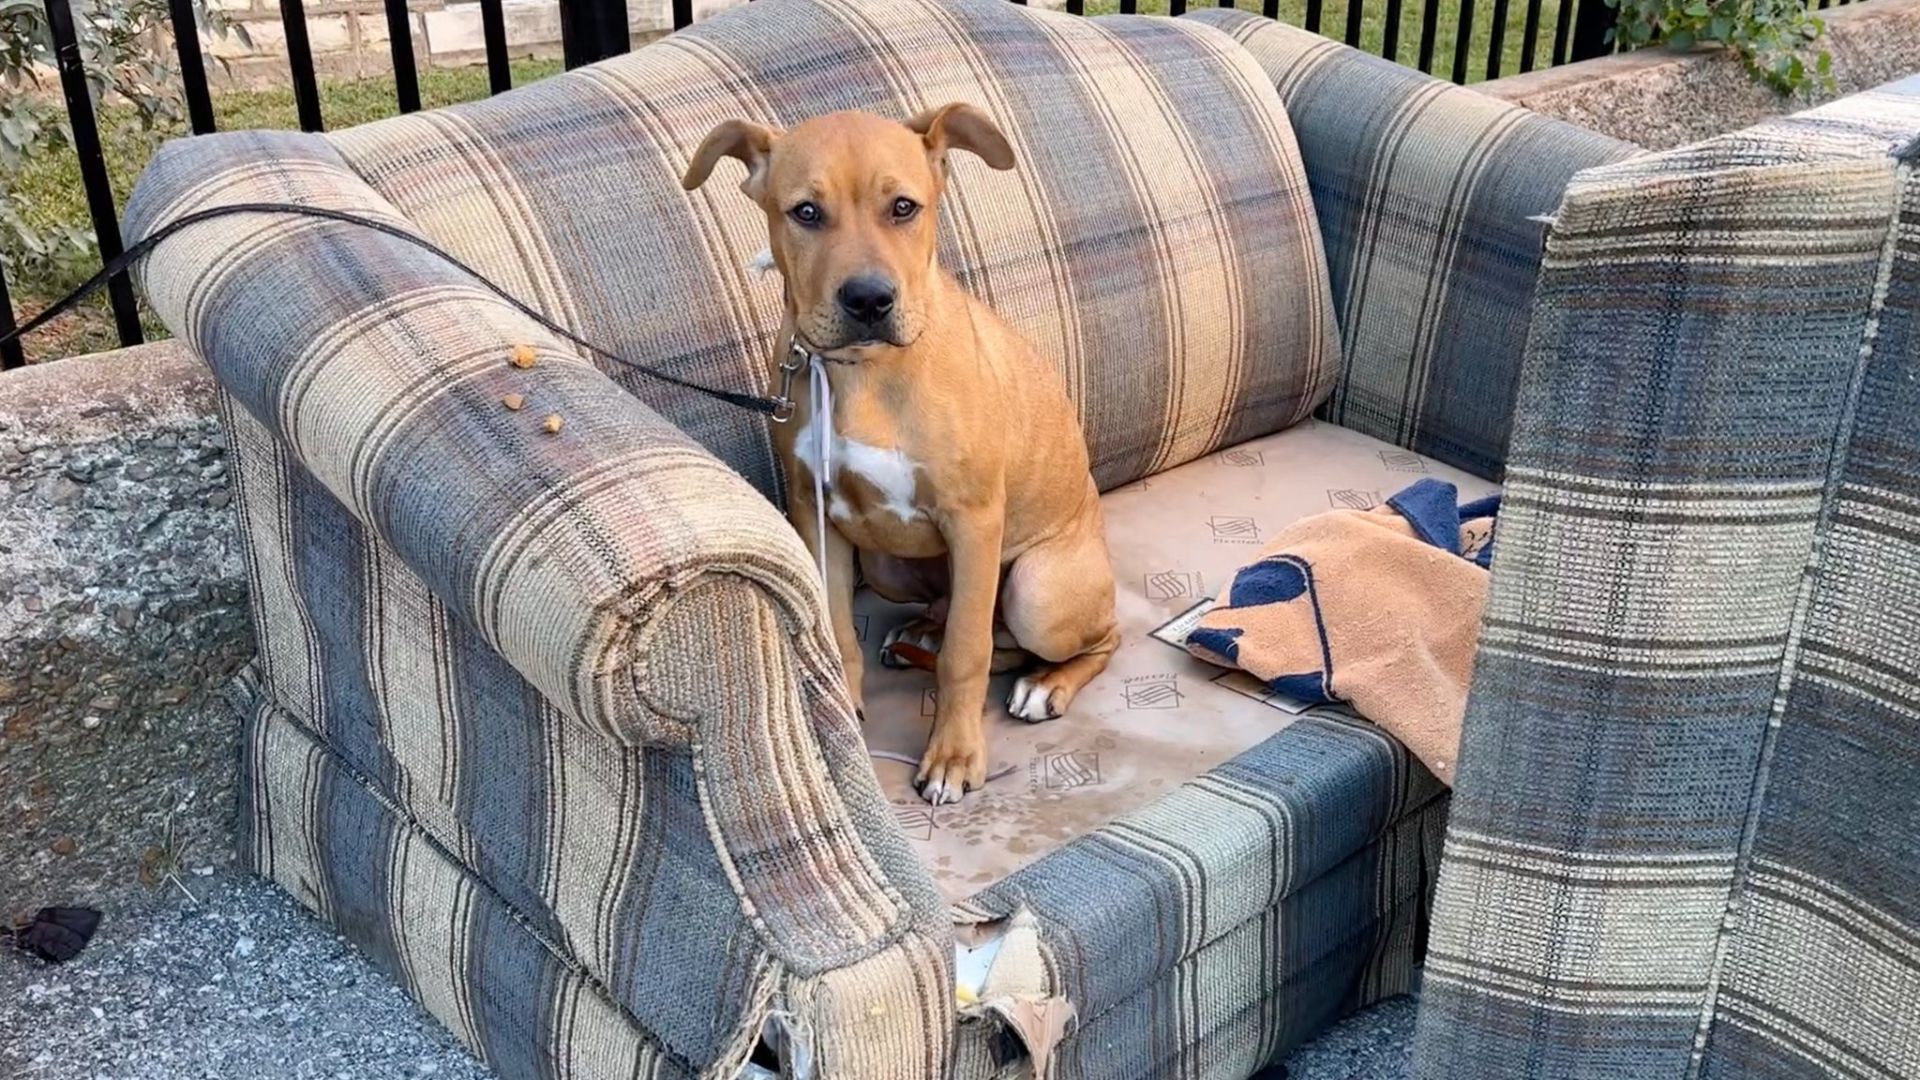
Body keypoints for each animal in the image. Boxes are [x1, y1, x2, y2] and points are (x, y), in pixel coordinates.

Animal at [683, 107, 1121, 799]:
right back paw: (922, 631)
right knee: (956, 616)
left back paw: (1046, 684)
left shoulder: (974, 520)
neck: (865, 372)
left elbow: (965, 654)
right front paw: (848, 719)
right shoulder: (816, 513)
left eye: (904, 207)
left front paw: (954, 757)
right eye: (806, 212)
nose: (868, 300)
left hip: (1037, 591)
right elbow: (839, 631)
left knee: (1076, 637)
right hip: (885, 561)